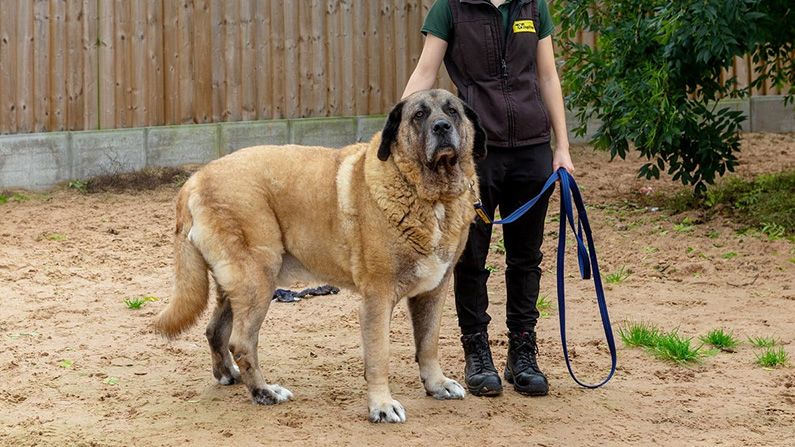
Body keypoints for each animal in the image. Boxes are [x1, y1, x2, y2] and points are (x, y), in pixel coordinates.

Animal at [155, 88, 488, 424]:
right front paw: (381, 405)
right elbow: (379, 356)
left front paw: (436, 385)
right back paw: (265, 392)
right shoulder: (377, 299)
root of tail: (195, 179)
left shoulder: (433, 291)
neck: (431, 196)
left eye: (452, 110)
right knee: (242, 342)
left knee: (215, 331)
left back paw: (229, 375)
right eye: (419, 115)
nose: (442, 126)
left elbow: (429, 343)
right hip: (257, 280)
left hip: (238, 285)